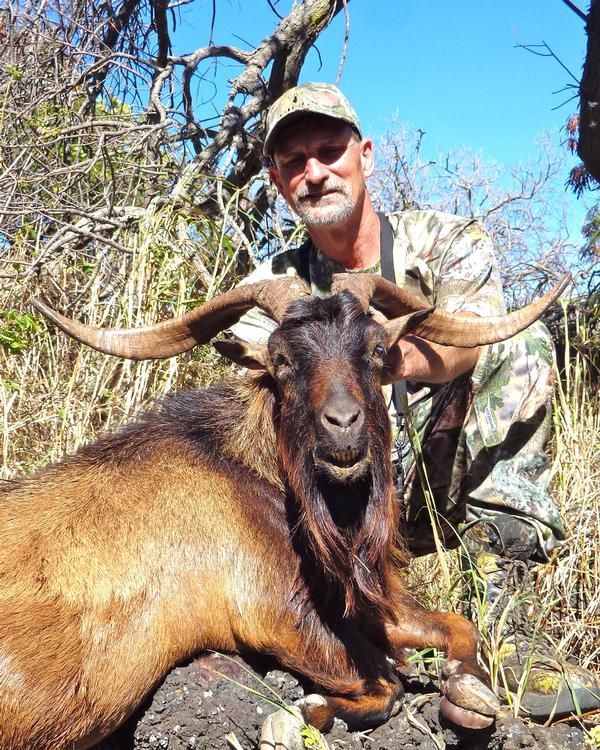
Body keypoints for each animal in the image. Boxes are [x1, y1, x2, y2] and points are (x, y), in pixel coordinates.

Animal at [0, 272, 568, 749]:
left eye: (376, 349)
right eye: (282, 360)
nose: (343, 426)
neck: (246, 467)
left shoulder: (356, 604)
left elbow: (456, 626)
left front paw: (466, 696)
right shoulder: (276, 612)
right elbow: (385, 683)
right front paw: (311, 709)